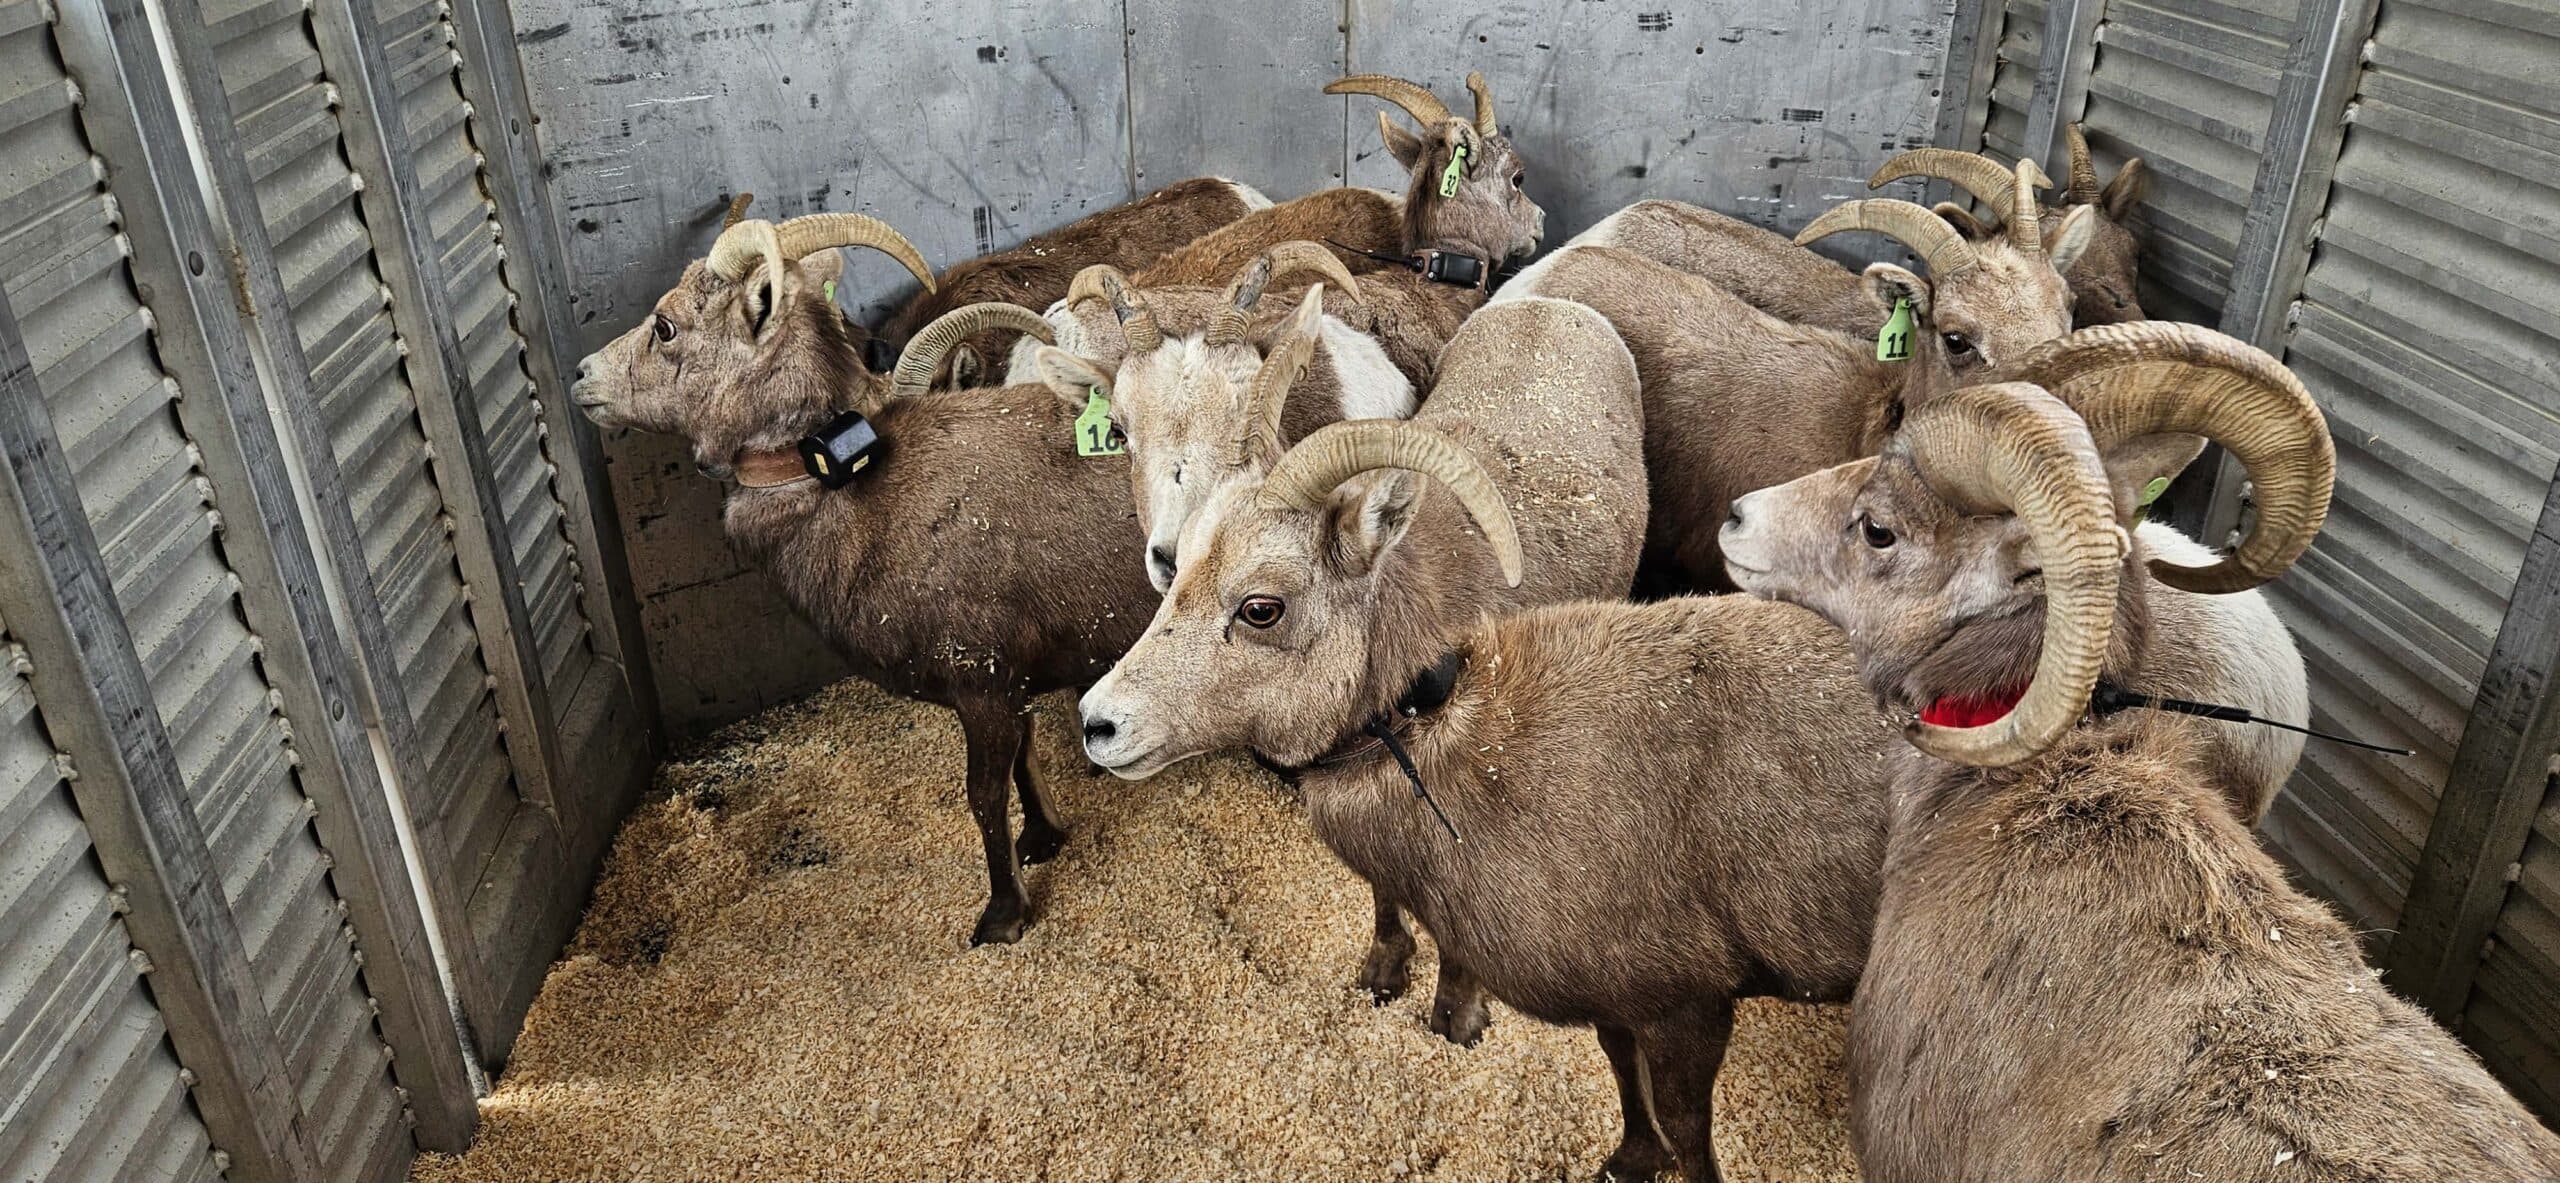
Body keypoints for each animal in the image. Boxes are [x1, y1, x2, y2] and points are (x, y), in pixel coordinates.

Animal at [571, 212, 1161, 946]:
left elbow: (983, 797)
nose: (582, 374)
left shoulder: (981, 685)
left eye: (666, 326)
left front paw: (1001, 917)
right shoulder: (1010, 683)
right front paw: (1042, 842)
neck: (856, 495)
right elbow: (1025, 765)